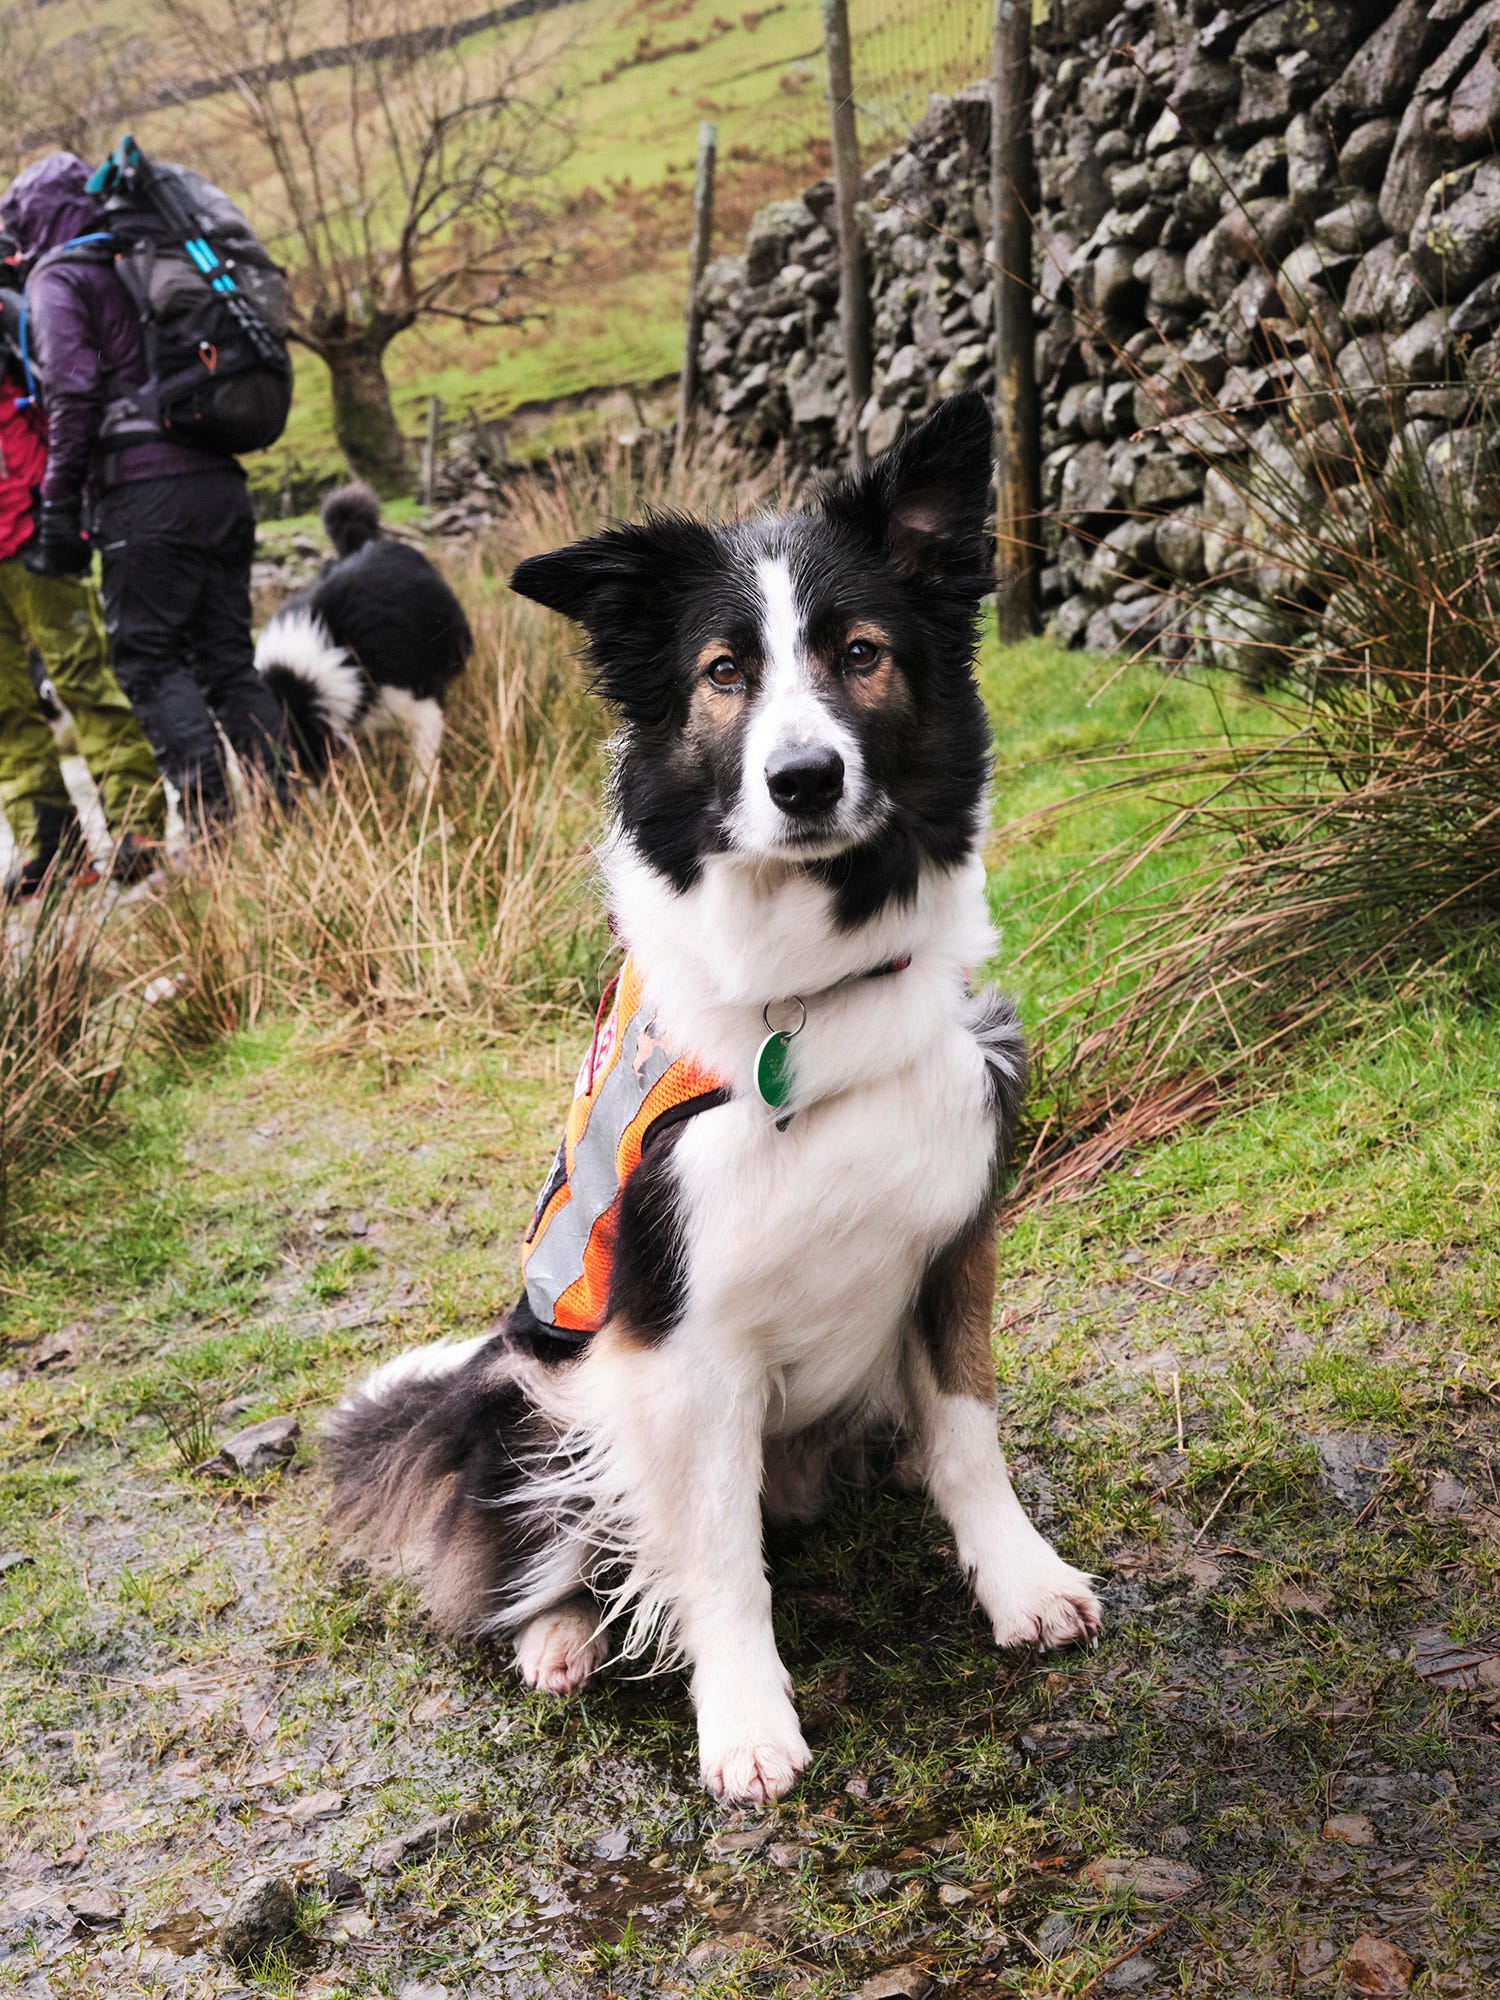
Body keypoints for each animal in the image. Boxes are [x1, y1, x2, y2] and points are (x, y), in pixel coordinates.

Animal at [326, 398, 1104, 1808]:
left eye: (860, 653)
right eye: (725, 670)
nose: (803, 778)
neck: (809, 995)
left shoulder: (954, 1237)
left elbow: (968, 1435)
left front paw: (1020, 1581)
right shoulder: (676, 1340)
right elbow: (717, 1557)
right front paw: (743, 1720)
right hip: (525, 1385)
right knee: (545, 1546)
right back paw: (560, 1636)